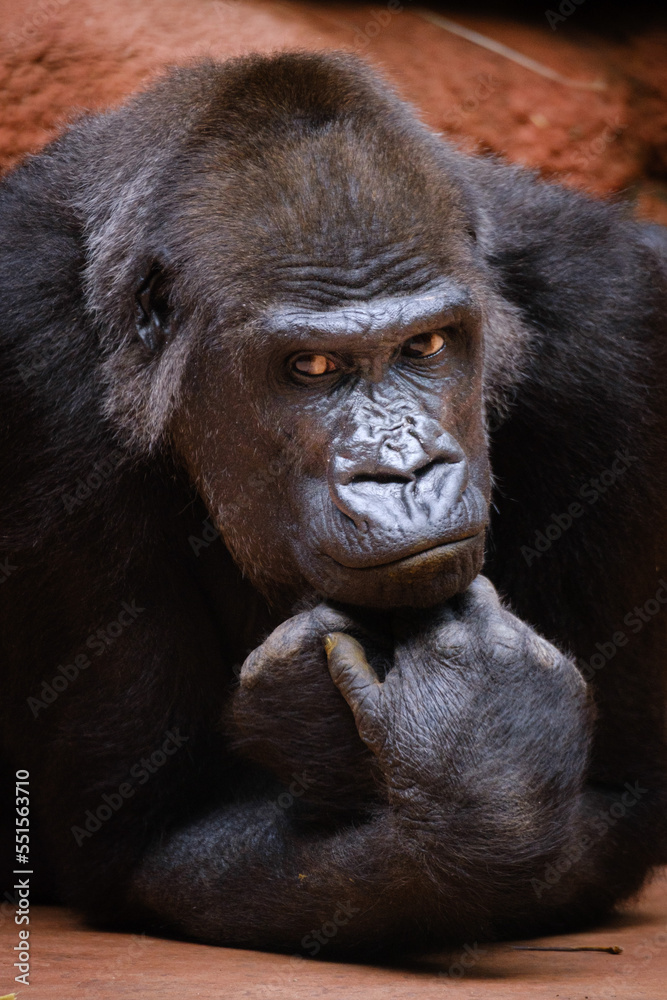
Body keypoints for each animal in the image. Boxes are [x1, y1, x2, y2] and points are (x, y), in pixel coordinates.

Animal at [0, 52, 664, 952]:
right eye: (310, 367)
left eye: (425, 346)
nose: (403, 470)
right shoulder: (28, 365)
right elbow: (147, 842)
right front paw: (480, 770)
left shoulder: (616, 320)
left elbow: (621, 799)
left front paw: (475, 758)